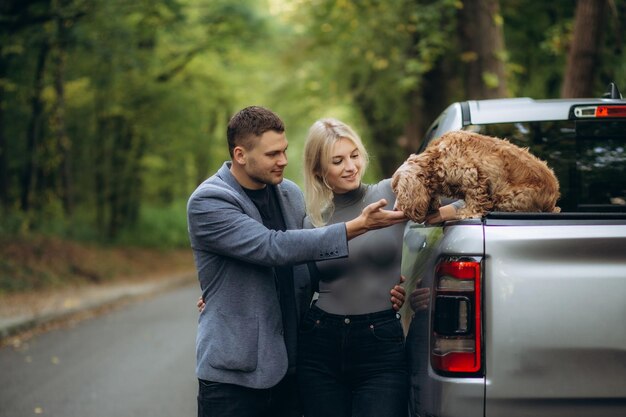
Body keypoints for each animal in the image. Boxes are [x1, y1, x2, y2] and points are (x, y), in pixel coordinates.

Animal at [390, 131, 560, 224]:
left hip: (506, 196)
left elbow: (474, 198)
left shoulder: (471, 174)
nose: (395, 209)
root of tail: (552, 199)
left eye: (397, 191)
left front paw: (467, 212)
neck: (435, 158)